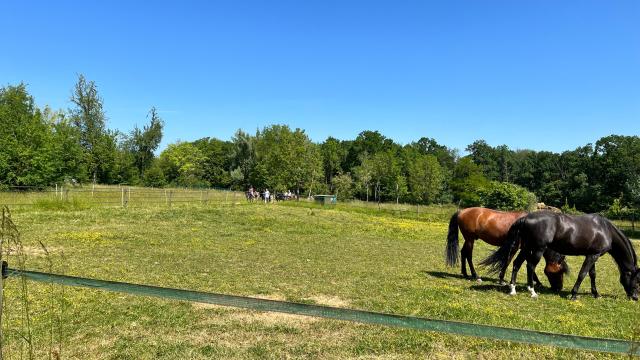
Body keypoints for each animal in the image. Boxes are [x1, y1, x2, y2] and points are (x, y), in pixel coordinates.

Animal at [482, 212, 636, 300]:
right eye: (637, 280)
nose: (635, 297)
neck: (605, 229)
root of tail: (525, 218)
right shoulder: (592, 256)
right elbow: (583, 274)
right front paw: (573, 294)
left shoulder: (592, 255)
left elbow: (592, 274)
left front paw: (596, 294)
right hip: (537, 249)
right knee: (530, 266)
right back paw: (532, 291)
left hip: (526, 248)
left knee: (516, 264)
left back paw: (513, 289)